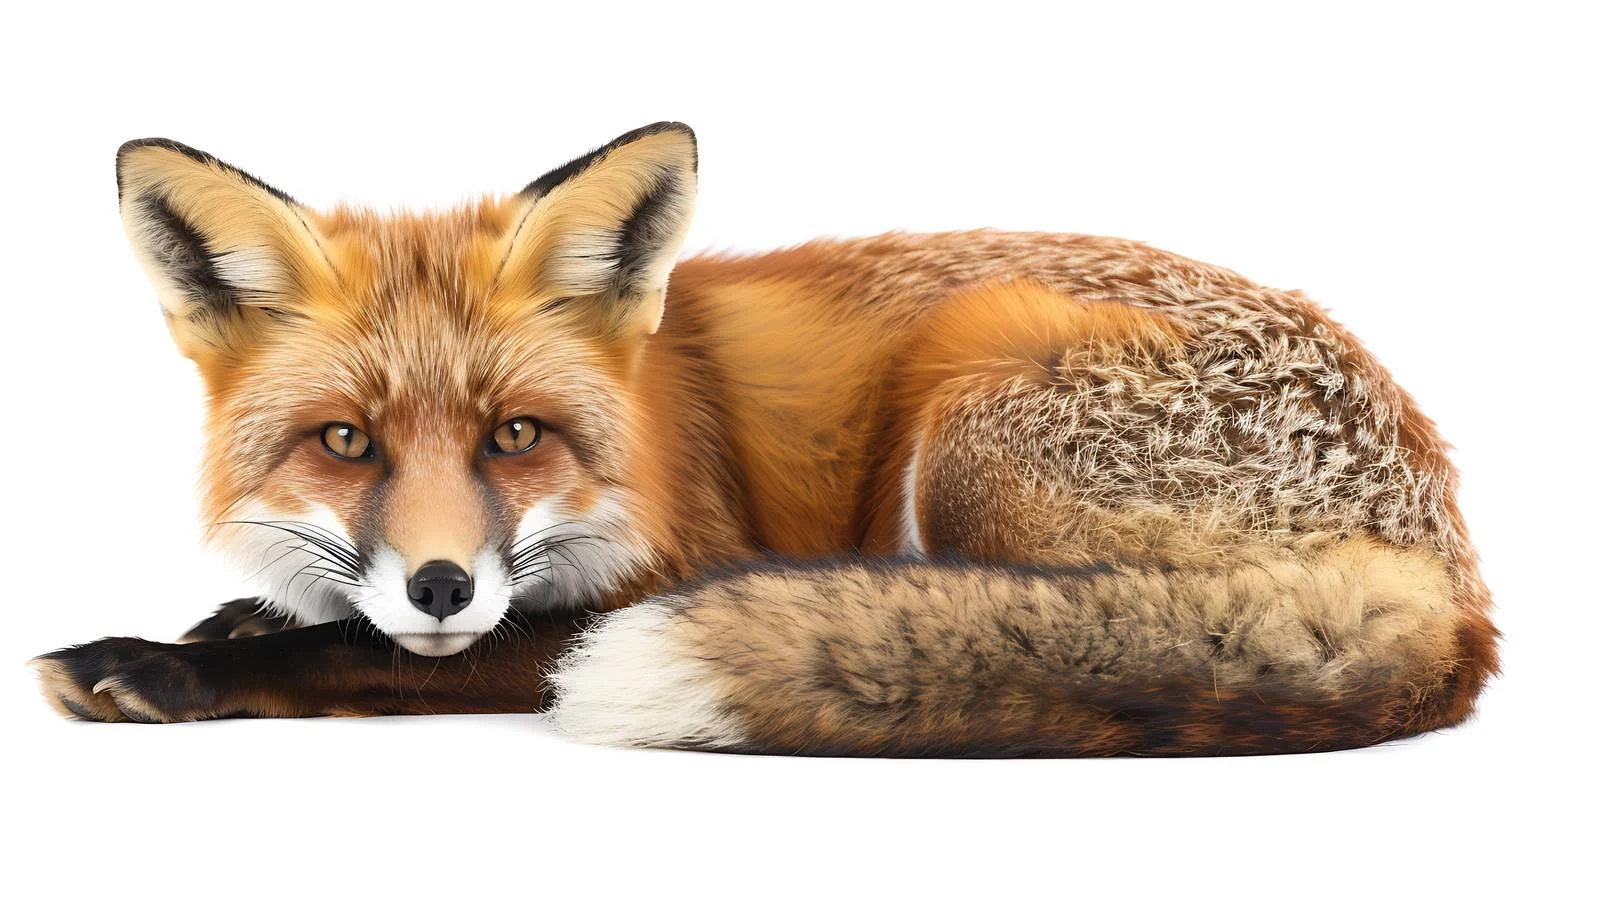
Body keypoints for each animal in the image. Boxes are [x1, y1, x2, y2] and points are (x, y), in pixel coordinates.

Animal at [32, 122, 1497, 756]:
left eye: (516, 435)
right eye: (344, 441)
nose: (442, 584)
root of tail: (1454, 572)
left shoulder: (660, 575)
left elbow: (368, 653)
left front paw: (168, 665)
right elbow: (326, 614)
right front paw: (234, 618)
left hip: (975, 402)